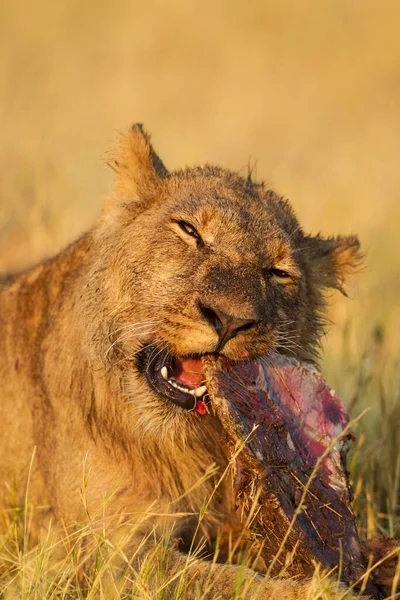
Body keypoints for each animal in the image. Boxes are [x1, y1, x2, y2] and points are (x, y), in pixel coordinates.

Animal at [0, 124, 378, 596]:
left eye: (278, 272)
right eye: (190, 231)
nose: (230, 320)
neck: (183, 445)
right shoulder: (101, 551)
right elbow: (215, 580)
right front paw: (319, 591)